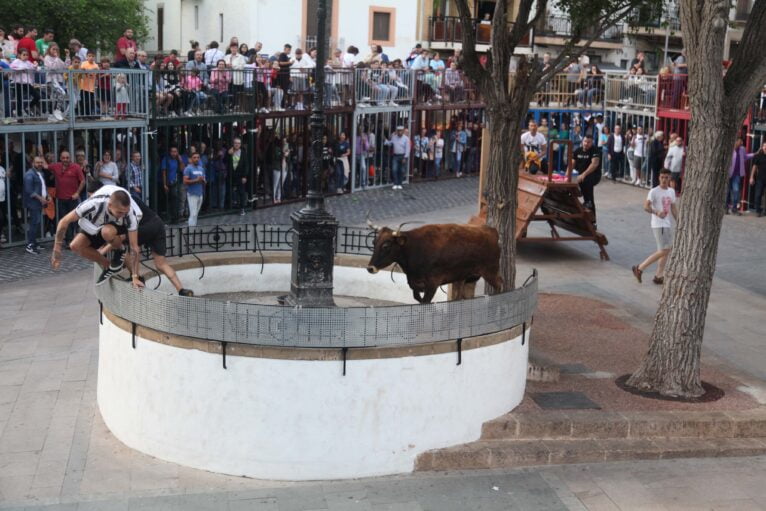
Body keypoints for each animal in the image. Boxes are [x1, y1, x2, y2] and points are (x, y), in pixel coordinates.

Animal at [366, 222, 504, 302]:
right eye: (374, 242)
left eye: (386, 245)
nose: (370, 268)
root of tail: (492, 231)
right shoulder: (415, 284)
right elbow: (418, 299)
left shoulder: (433, 283)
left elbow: (425, 302)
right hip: (466, 277)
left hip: (490, 271)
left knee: (499, 285)